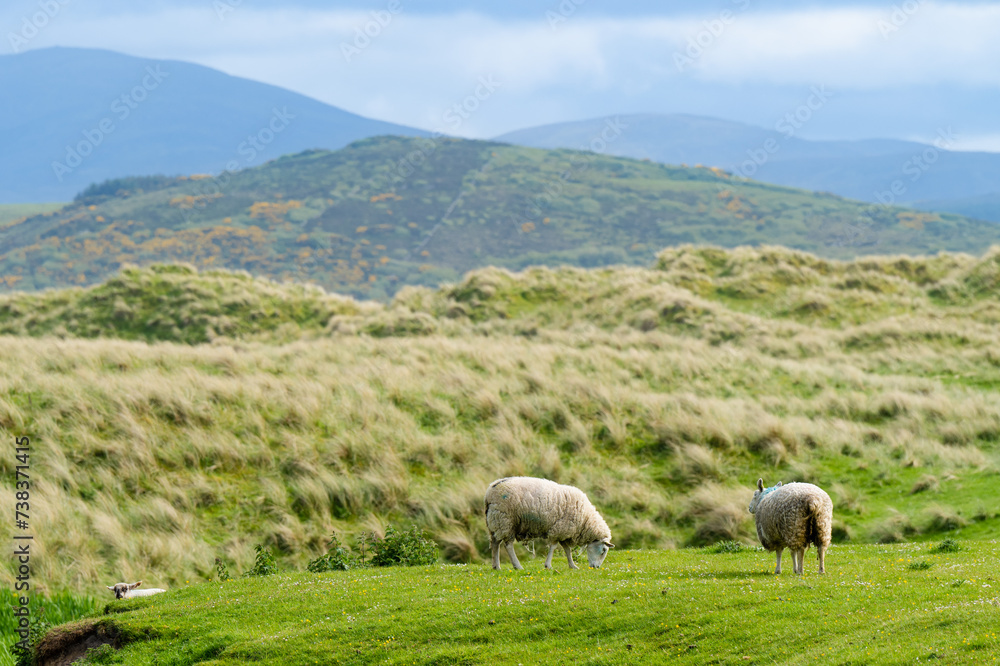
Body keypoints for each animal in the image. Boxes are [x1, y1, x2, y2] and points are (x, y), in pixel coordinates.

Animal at [484, 476, 614, 570]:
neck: (585, 518)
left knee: (495, 543)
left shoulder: (564, 531)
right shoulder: (559, 528)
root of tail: (490, 489)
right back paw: (517, 566)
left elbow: (567, 549)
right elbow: (553, 547)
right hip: (505, 519)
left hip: (495, 521)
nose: (596, 567)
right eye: (603, 550)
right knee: (508, 545)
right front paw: (548, 565)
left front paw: (572, 565)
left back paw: (496, 566)